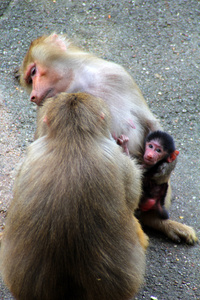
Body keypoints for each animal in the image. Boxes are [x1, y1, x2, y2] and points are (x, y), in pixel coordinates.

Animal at [19, 33, 198, 244]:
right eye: (30, 78)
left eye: (34, 72)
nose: (32, 95)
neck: (80, 83)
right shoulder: (47, 108)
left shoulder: (117, 74)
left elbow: (148, 121)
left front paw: (168, 165)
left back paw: (158, 220)